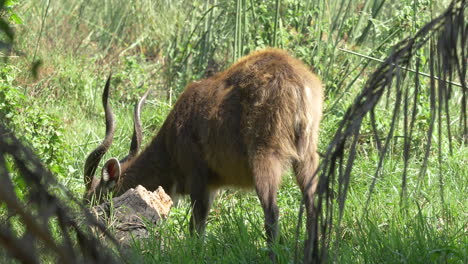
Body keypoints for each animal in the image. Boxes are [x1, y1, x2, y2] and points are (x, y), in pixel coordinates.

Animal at [83, 48, 322, 260]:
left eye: (93, 198)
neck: (171, 139)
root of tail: (296, 81)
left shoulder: (198, 181)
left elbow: (195, 228)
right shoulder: (212, 187)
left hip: (265, 158)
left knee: (272, 212)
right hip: (308, 158)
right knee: (313, 206)